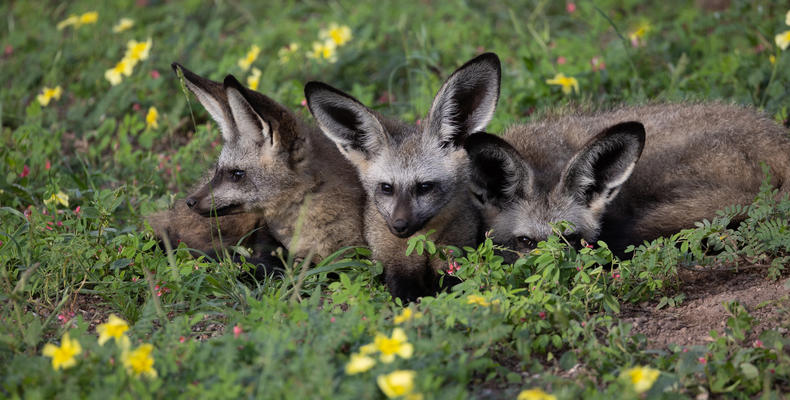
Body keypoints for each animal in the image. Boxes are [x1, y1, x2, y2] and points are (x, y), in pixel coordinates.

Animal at [304, 53, 502, 302]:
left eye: (425, 187)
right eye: (387, 187)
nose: (399, 226)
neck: (423, 244)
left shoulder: (455, 252)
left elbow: (452, 286)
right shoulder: (391, 260)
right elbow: (405, 292)